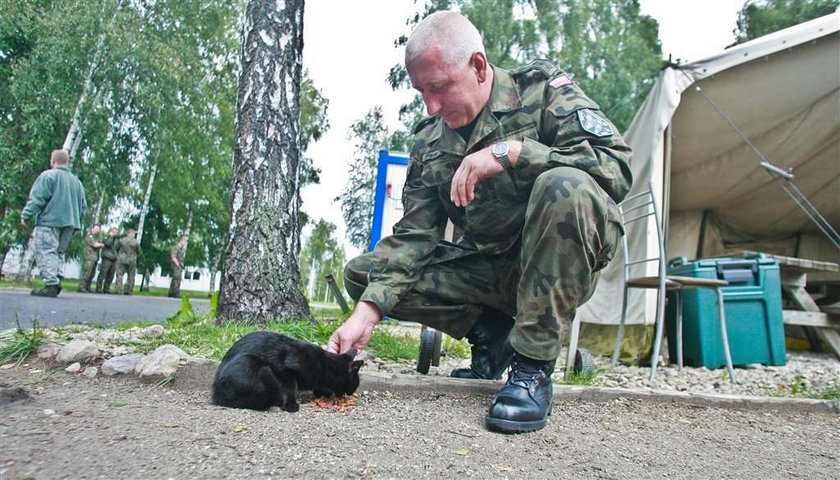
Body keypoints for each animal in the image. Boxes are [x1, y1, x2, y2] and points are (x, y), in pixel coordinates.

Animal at [212, 330, 362, 412]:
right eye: (355, 383)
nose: (351, 393)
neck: (325, 365)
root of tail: (216, 395)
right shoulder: (286, 369)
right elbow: (290, 388)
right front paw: (290, 405)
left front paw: (323, 393)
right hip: (250, 363)